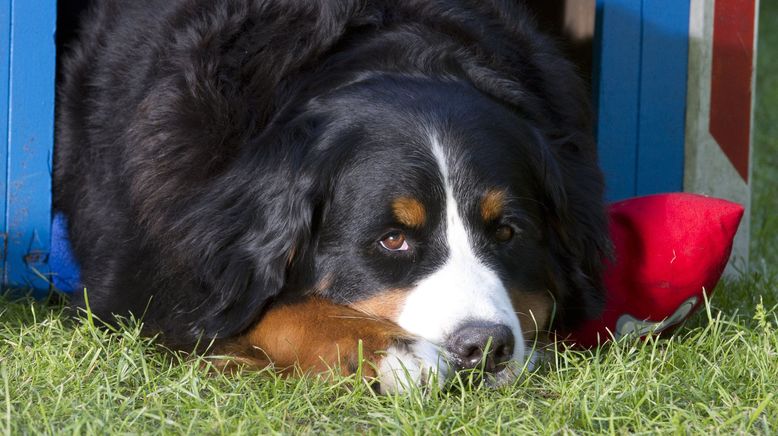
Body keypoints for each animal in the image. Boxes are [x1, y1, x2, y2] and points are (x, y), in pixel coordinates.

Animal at [54, 0, 608, 394]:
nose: (484, 347)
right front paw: (389, 351)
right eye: (392, 240)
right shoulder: (140, 291)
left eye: (507, 232)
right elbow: (273, 311)